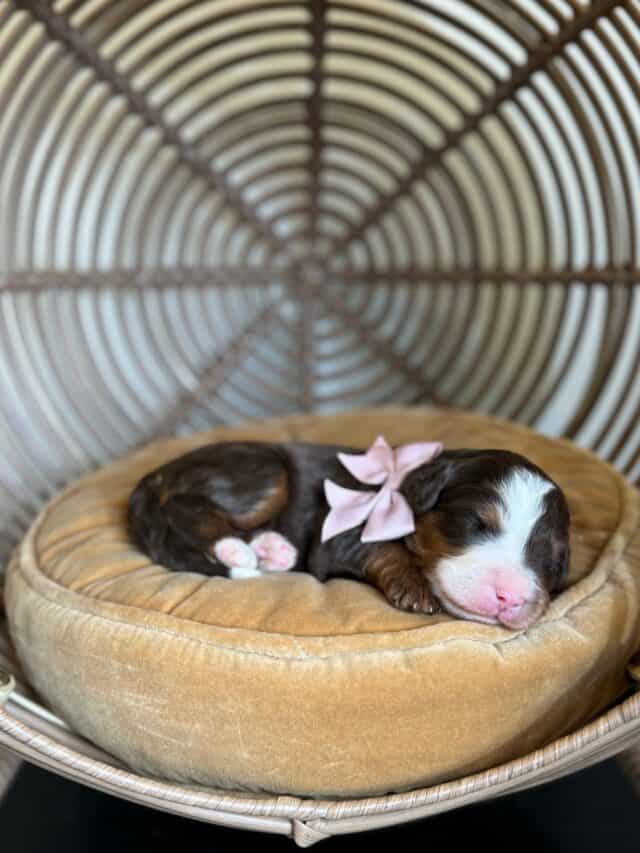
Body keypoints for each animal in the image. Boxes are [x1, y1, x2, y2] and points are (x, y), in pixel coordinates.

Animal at [126, 440, 568, 632]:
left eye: (551, 561)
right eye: (476, 523)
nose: (510, 596)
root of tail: (154, 474)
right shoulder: (340, 536)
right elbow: (387, 550)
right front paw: (414, 588)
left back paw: (272, 551)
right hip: (263, 469)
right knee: (185, 507)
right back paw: (235, 550)